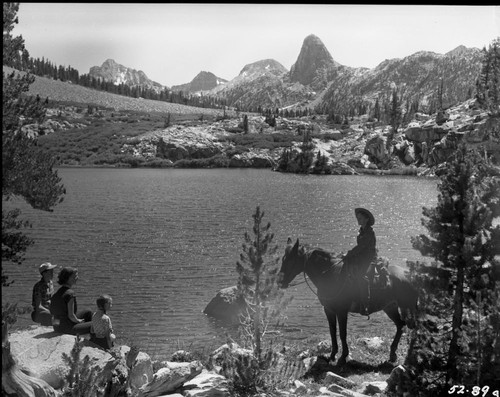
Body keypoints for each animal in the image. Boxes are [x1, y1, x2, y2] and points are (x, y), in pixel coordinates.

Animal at [278, 238, 418, 366]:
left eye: (290, 260)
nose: (280, 282)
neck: (329, 275)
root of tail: (412, 275)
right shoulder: (328, 310)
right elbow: (332, 332)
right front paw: (332, 356)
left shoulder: (342, 311)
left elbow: (342, 333)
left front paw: (342, 357)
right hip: (390, 307)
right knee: (401, 325)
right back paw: (393, 355)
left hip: (407, 306)